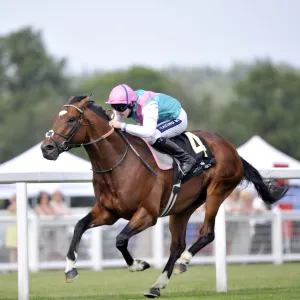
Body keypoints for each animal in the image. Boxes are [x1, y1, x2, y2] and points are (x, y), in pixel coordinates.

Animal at [40, 95, 286, 298]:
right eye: (54, 118)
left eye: (71, 119)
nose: (47, 148)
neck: (119, 163)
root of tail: (232, 150)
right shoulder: (108, 212)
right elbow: (79, 226)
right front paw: (70, 268)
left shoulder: (148, 214)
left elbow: (120, 239)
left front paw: (138, 264)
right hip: (183, 207)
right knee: (176, 245)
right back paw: (157, 285)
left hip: (217, 191)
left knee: (207, 233)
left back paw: (183, 262)